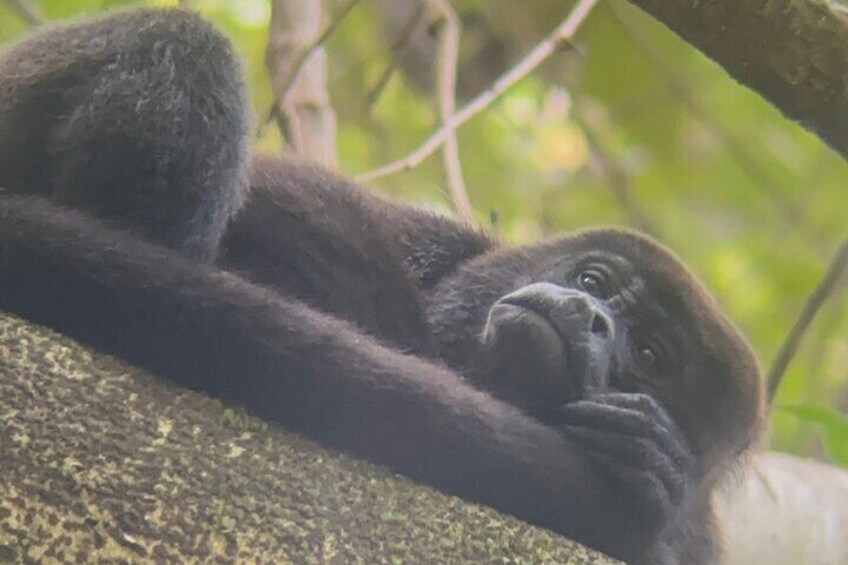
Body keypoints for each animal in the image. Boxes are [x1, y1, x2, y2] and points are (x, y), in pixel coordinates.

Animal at [0, 8, 764, 564]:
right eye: (592, 279)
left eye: (654, 356)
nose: (590, 312)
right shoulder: (425, 236)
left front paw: (652, 455)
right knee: (186, 44)